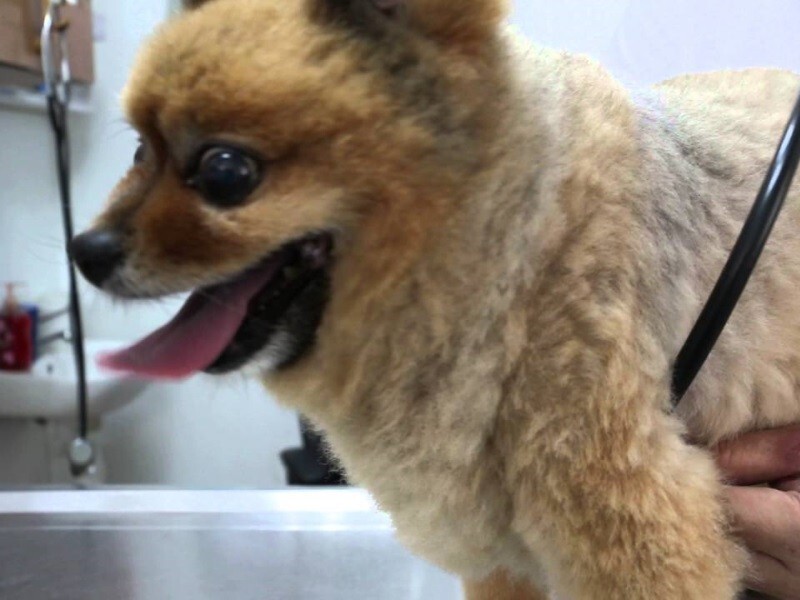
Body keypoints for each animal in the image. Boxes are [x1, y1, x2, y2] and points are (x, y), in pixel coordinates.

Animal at [70, 1, 800, 598]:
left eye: (225, 172)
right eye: (138, 152)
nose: (86, 249)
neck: (518, 254)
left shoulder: (638, 532)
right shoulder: (503, 559)